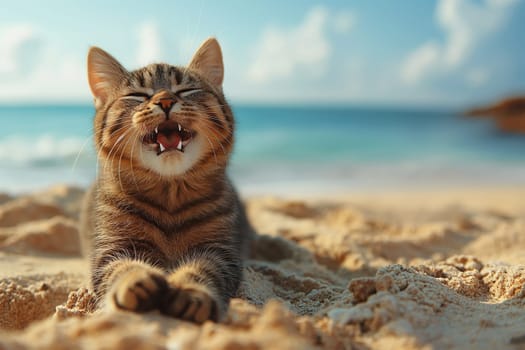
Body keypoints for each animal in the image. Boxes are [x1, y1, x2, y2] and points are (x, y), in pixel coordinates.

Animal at [80, 37, 254, 322]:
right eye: (137, 95)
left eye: (186, 90)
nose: (164, 101)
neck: (170, 192)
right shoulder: (112, 248)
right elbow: (120, 267)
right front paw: (134, 279)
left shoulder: (219, 251)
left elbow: (204, 269)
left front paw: (191, 291)